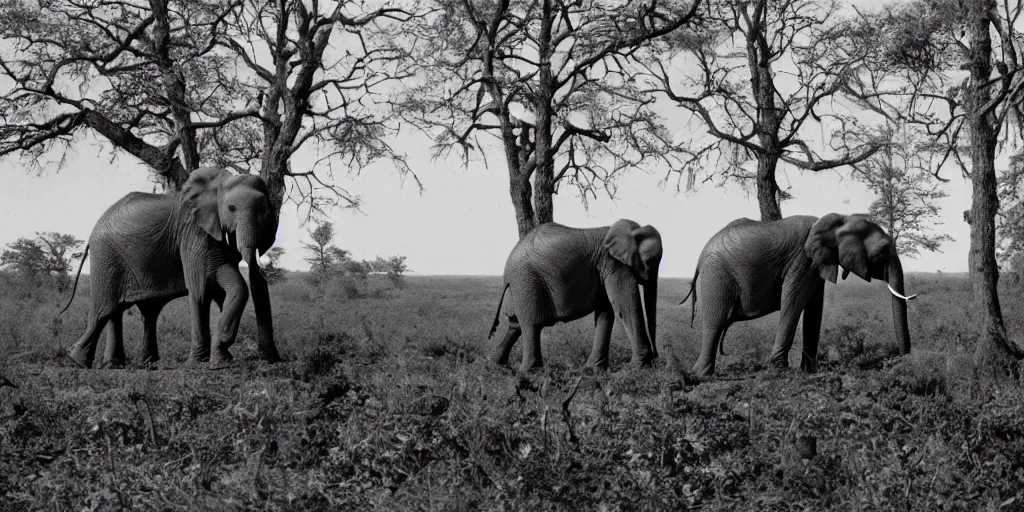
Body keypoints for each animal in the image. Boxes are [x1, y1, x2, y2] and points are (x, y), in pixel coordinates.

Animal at [59, 166, 284, 368]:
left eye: (264, 211)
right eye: (231, 208)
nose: (271, 358)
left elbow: (227, 289)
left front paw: (221, 358)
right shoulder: (194, 232)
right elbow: (201, 289)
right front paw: (202, 363)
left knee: (134, 310)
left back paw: (128, 364)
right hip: (106, 257)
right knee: (105, 308)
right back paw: (79, 361)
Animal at [487, 219, 663, 372]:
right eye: (649, 261)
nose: (656, 359)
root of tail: (507, 268)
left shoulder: (604, 267)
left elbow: (605, 310)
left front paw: (594, 370)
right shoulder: (614, 263)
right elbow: (625, 305)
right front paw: (637, 367)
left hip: (519, 285)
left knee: (515, 324)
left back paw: (496, 365)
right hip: (526, 280)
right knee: (531, 324)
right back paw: (531, 373)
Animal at [684, 211, 917, 376]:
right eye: (883, 250)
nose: (901, 360)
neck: (838, 221)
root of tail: (699, 259)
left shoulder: (818, 262)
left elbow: (814, 306)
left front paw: (810, 371)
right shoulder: (801, 259)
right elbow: (794, 300)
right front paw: (780, 369)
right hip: (717, 276)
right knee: (715, 323)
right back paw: (701, 375)